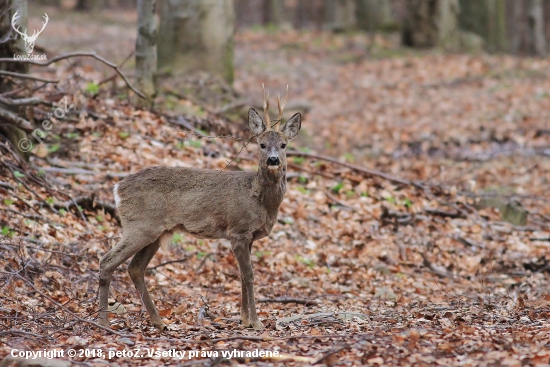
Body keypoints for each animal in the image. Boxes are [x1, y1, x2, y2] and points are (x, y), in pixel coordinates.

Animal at [101, 85, 304, 330]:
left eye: (283, 145)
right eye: (262, 144)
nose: (273, 160)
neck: (260, 200)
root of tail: (117, 188)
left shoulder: (249, 236)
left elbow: (242, 276)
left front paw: (244, 319)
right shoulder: (238, 230)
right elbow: (249, 275)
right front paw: (256, 322)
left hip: (157, 232)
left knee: (135, 268)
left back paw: (159, 321)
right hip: (140, 226)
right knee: (107, 261)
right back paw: (103, 321)